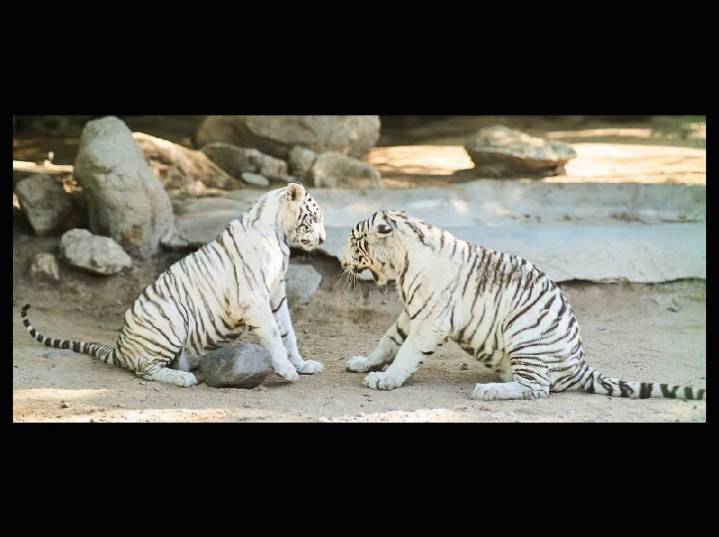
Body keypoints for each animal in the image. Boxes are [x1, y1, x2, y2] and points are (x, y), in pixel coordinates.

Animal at [21, 183, 326, 387]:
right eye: (314, 217)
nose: (323, 239)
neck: (278, 235)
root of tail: (119, 347)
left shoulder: (276, 295)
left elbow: (288, 333)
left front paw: (302, 364)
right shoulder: (254, 299)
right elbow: (274, 334)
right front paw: (287, 370)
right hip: (171, 319)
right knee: (145, 369)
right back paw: (183, 378)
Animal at [341, 210, 706, 401]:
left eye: (354, 242)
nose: (343, 262)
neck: (403, 265)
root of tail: (581, 365)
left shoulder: (430, 320)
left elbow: (405, 353)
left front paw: (385, 380)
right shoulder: (411, 313)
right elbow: (388, 340)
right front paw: (364, 363)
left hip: (524, 334)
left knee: (538, 389)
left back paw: (487, 390)